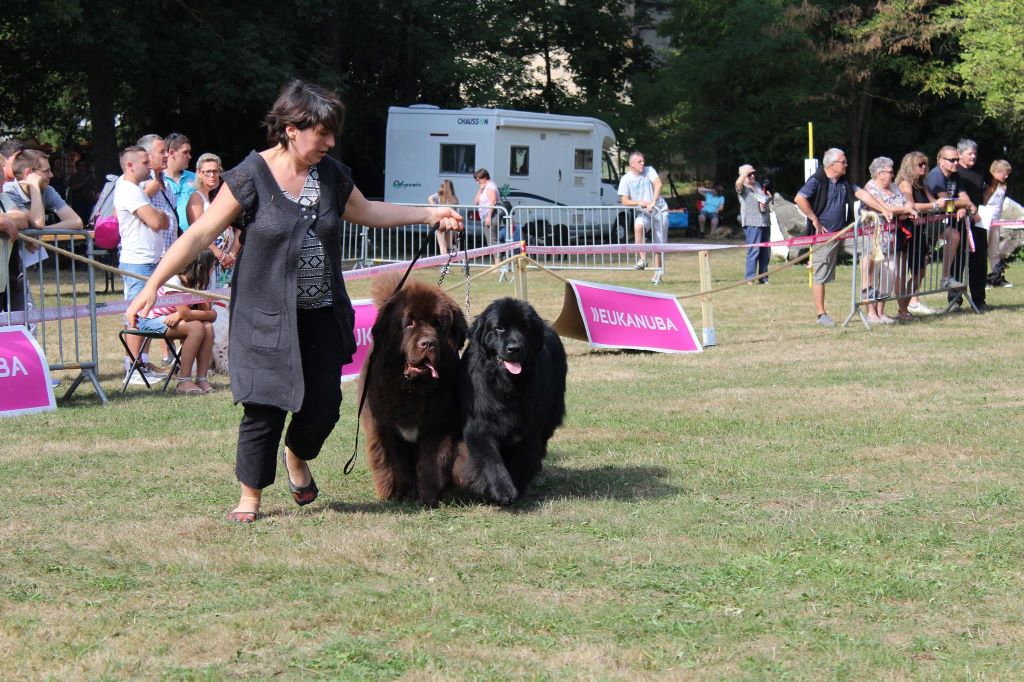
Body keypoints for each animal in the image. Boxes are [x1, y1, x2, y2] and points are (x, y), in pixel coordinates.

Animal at [358, 270, 466, 503]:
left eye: (438, 324)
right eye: (409, 323)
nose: (428, 343)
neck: (413, 390)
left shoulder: (439, 424)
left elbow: (433, 460)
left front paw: (429, 494)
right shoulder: (388, 429)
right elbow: (399, 464)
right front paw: (407, 493)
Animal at [456, 294, 569, 501]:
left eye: (525, 328)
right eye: (499, 328)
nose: (514, 348)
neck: (506, 384)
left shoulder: (529, 428)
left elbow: (523, 459)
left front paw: (517, 486)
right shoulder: (480, 423)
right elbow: (490, 459)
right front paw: (502, 489)